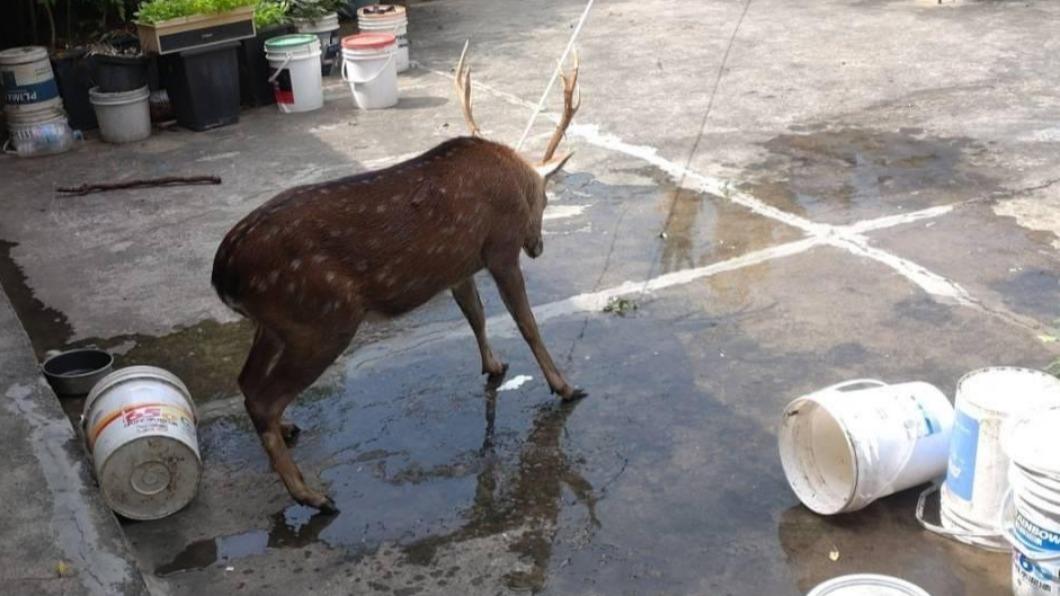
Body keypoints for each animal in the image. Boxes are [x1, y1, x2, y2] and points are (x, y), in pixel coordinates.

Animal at [211, 47, 585, 512]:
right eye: (545, 200)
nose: (538, 247)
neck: (515, 179)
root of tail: (222, 271)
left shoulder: (457, 267)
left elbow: (476, 315)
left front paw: (494, 365)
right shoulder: (500, 249)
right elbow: (527, 323)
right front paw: (564, 386)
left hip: (276, 324)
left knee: (246, 383)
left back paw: (289, 431)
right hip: (320, 318)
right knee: (263, 398)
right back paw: (310, 494)